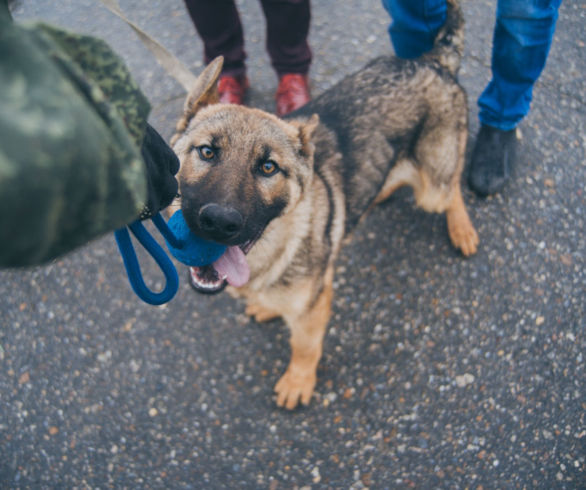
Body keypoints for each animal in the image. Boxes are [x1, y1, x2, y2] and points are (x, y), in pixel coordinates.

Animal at [169, 0, 474, 408]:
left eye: (268, 167)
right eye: (206, 152)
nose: (219, 221)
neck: (272, 248)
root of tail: (433, 61)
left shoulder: (313, 306)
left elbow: (304, 345)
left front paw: (298, 381)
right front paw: (267, 306)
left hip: (434, 189)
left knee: (453, 187)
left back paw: (461, 228)